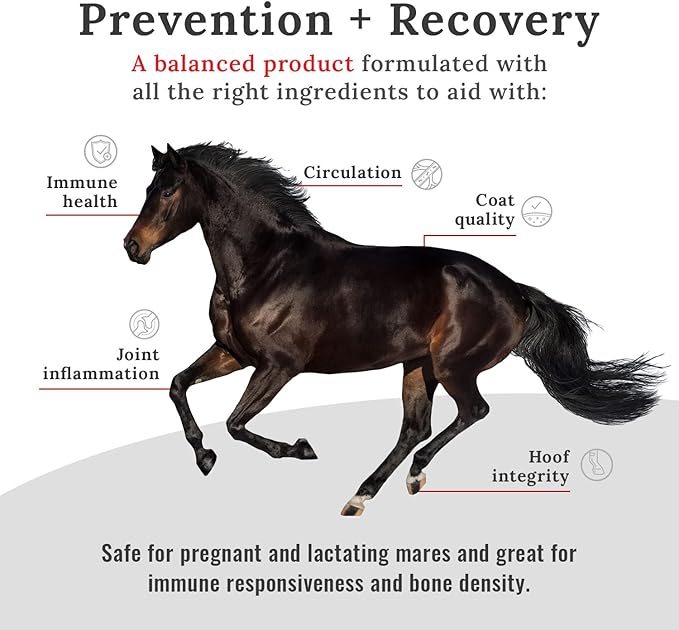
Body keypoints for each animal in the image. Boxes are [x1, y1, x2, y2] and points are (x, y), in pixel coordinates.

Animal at [123, 143, 662, 516]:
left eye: (167, 191)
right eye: (148, 189)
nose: (132, 247)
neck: (266, 266)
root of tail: (515, 291)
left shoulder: (279, 366)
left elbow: (236, 424)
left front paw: (299, 449)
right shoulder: (233, 353)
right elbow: (178, 385)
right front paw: (203, 456)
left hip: (451, 366)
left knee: (471, 412)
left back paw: (412, 476)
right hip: (417, 364)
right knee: (414, 427)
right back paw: (362, 495)